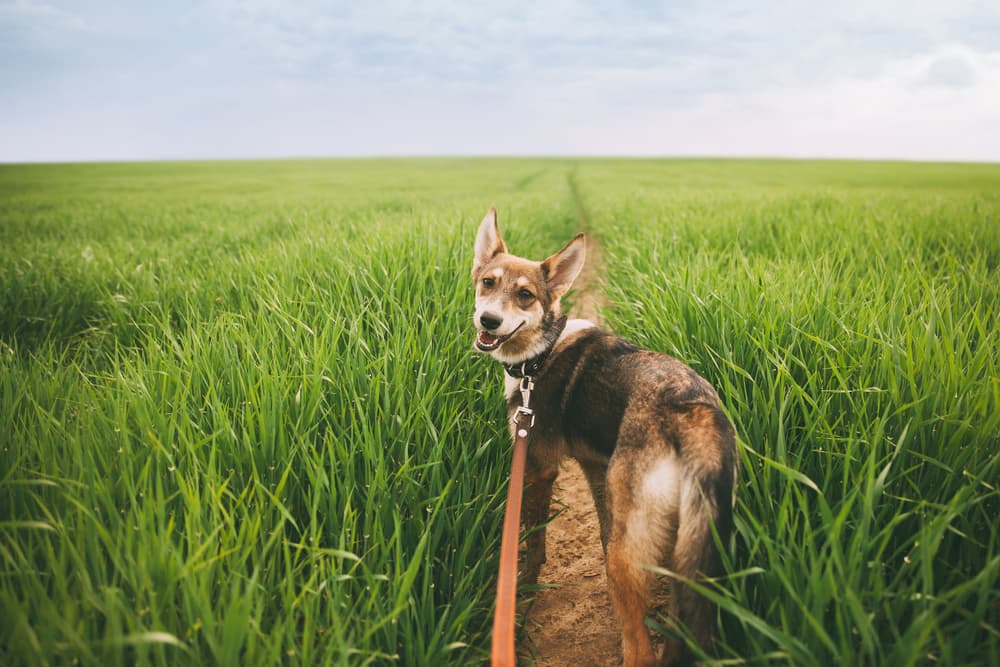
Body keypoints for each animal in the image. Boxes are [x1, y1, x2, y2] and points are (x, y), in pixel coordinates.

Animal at [472, 206, 740, 664]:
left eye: (525, 295)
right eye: (488, 283)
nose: (488, 320)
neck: (542, 351)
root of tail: (694, 415)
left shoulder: (539, 466)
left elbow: (532, 541)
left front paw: (524, 589)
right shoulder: (596, 468)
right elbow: (599, 525)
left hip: (627, 558)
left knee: (640, 649)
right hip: (685, 554)